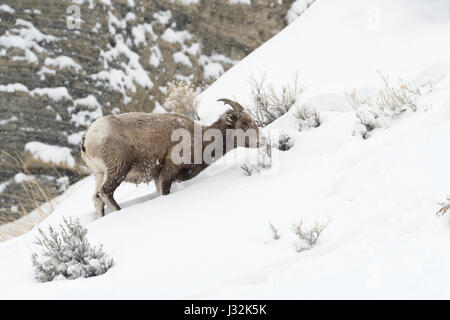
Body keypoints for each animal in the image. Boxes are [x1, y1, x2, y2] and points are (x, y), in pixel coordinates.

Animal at [81, 97, 264, 218]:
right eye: (244, 123)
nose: (261, 141)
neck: (198, 137)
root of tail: (87, 138)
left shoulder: (158, 178)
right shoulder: (167, 174)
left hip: (100, 174)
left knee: (97, 198)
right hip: (118, 170)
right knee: (106, 193)